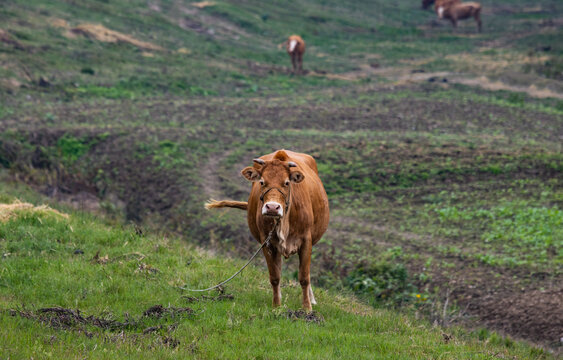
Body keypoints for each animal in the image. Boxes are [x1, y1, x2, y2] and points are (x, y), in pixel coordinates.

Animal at [206, 150, 330, 312]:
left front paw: (307, 308)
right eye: (262, 182)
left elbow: (304, 277)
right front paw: (276, 306)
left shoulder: (306, 241)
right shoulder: (267, 242)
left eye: (287, 183)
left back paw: (311, 299)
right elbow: (275, 277)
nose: (272, 207)